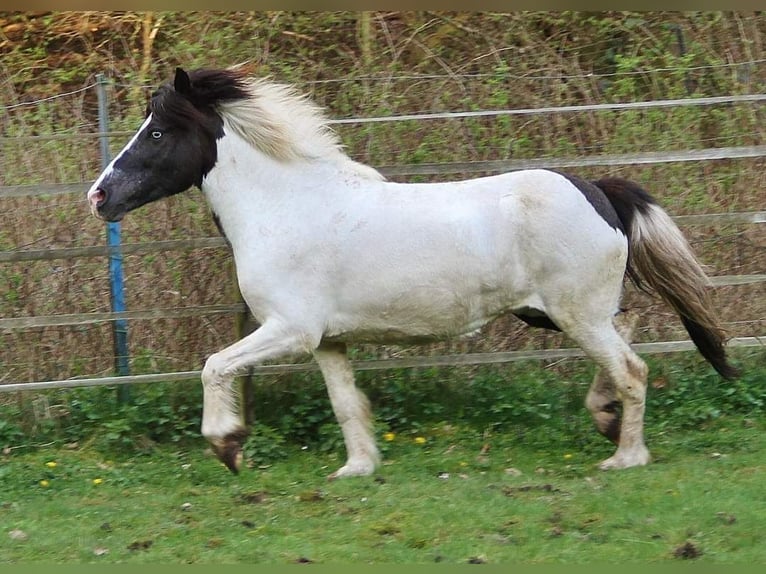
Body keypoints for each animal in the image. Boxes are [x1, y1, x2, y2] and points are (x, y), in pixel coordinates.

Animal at [87, 66, 740, 482]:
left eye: (157, 132)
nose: (99, 196)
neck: (287, 207)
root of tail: (597, 190)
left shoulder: (289, 330)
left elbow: (214, 365)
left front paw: (227, 447)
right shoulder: (327, 341)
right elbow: (347, 405)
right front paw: (357, 469)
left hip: (573, 313)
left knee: (632, 369)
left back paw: (625, 457)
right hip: (560, 313)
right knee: (626, 343)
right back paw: (605, 419)